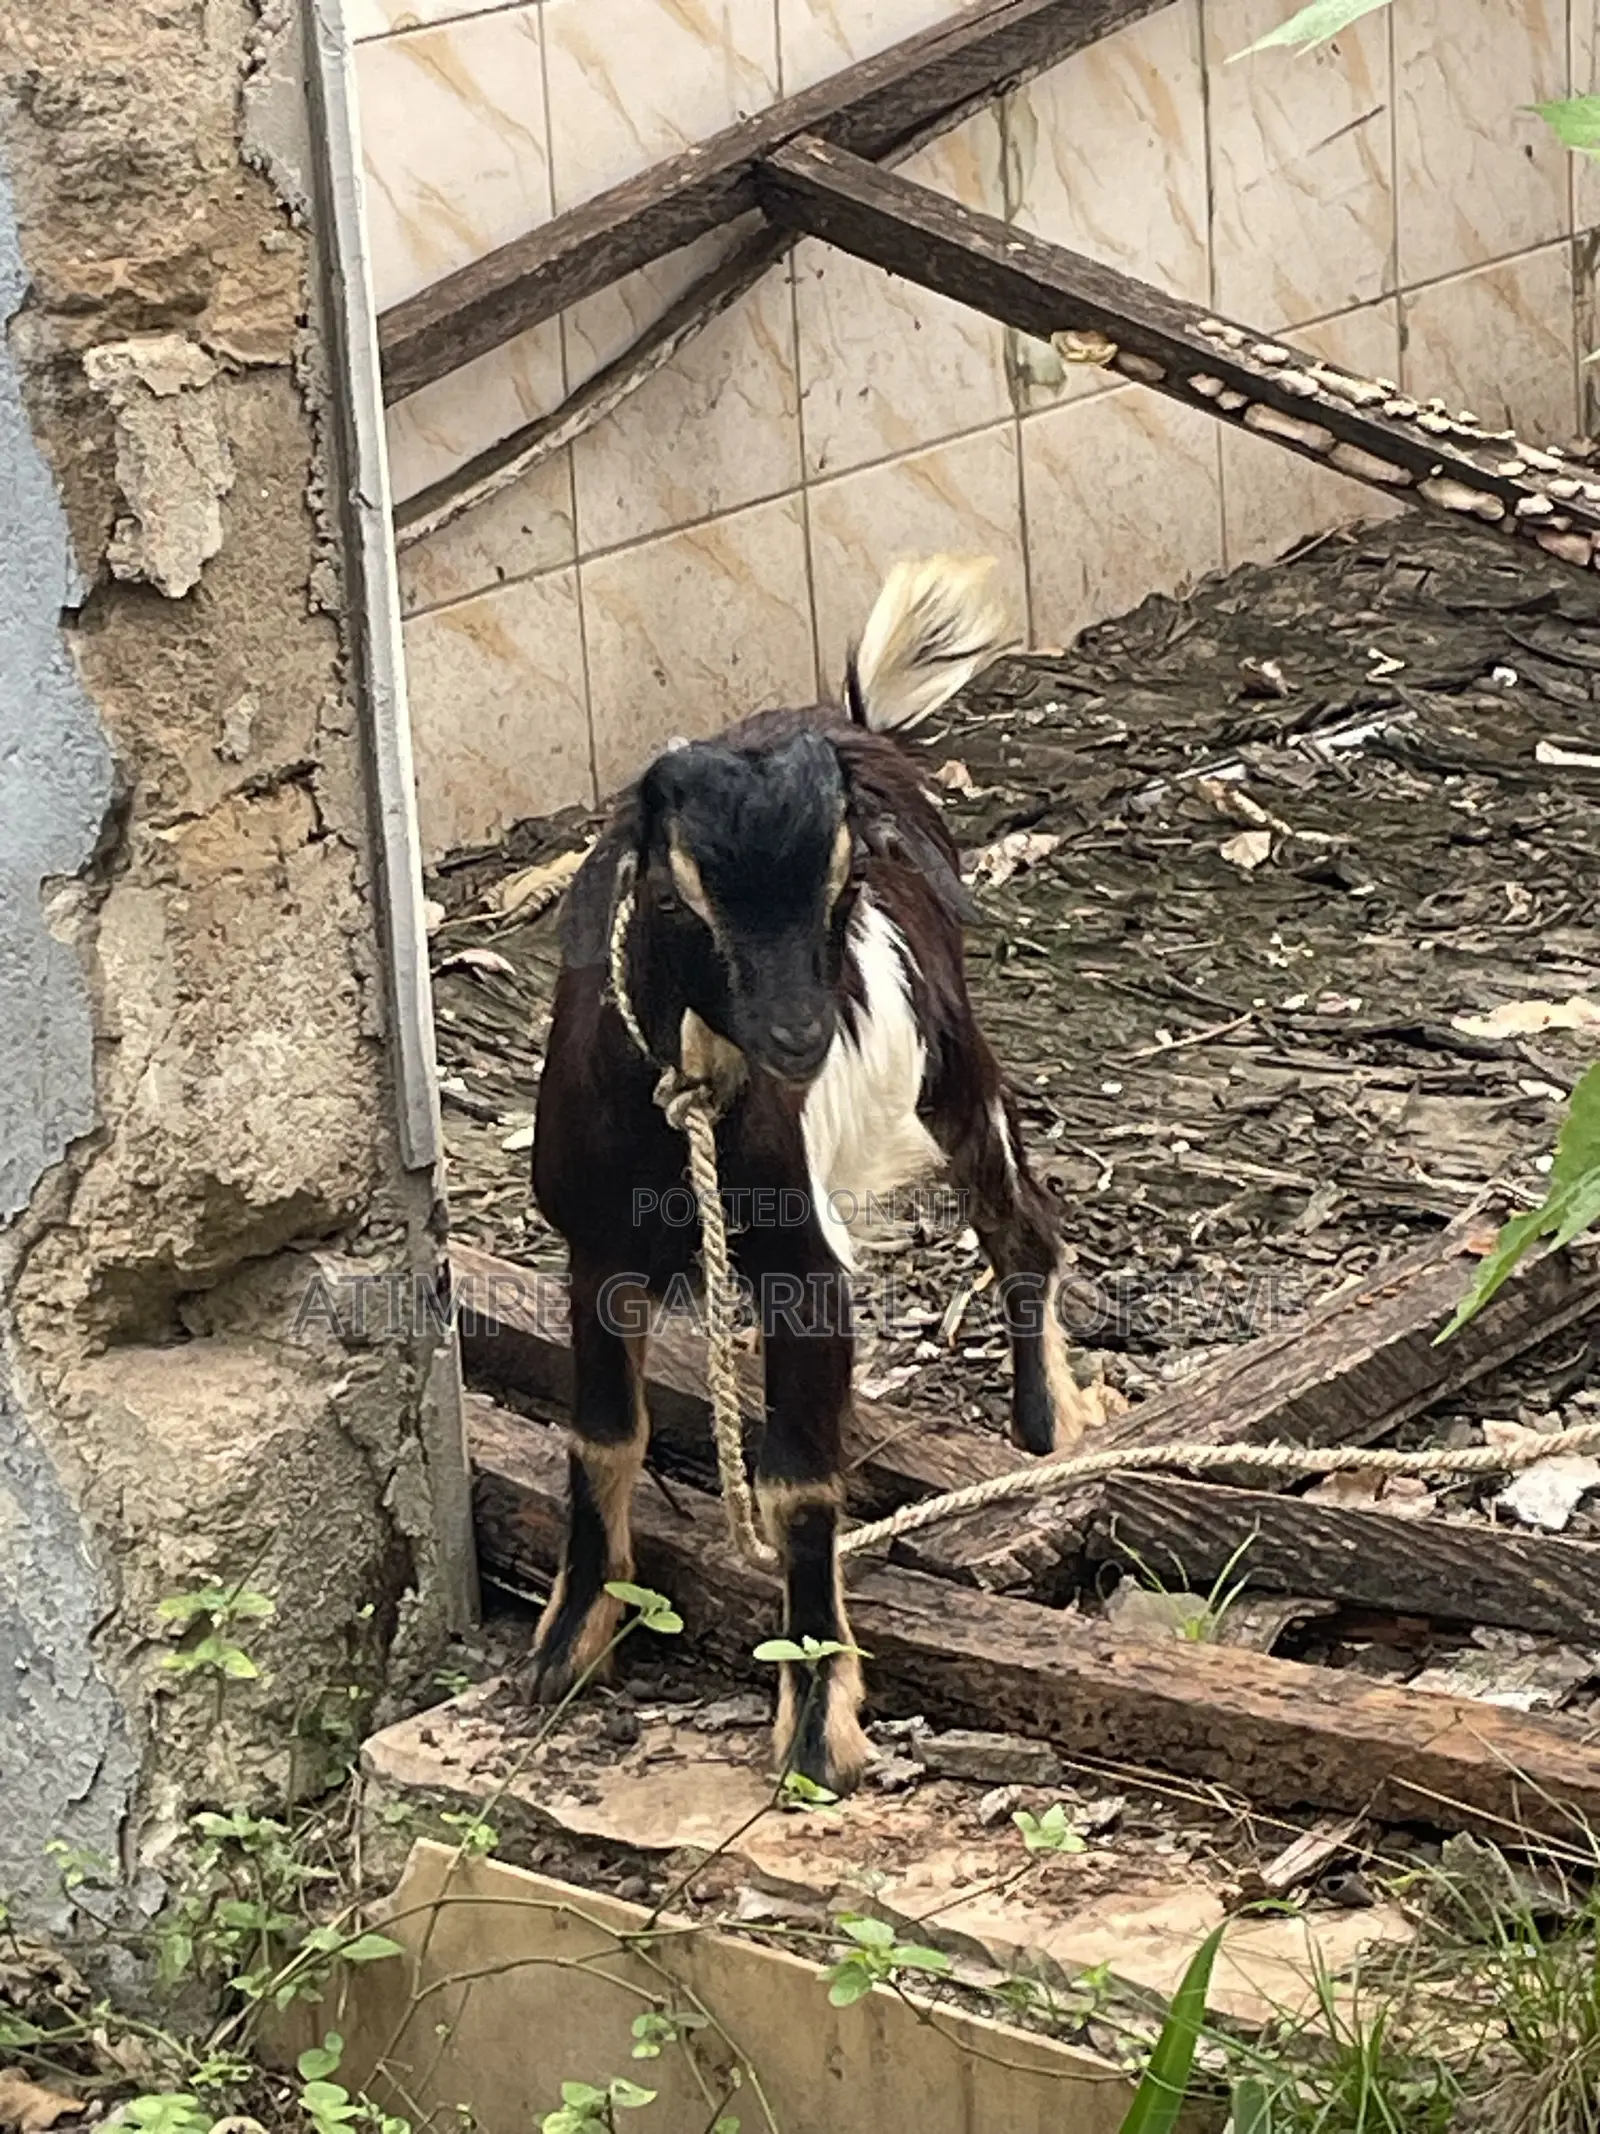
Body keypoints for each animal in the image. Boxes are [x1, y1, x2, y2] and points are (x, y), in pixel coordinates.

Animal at [523, 556, 1097, 1793]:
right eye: (680, 895)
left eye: (839, 886)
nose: (799, 1037)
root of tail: (856, 723)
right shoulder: (592, 1250)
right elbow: (602, 1434)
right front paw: (566, 1643)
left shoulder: (805, 1264)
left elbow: (798, 1478)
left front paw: (816, 1721)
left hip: (950, 1067)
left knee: (1022, 1221)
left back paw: (1046, 1422)